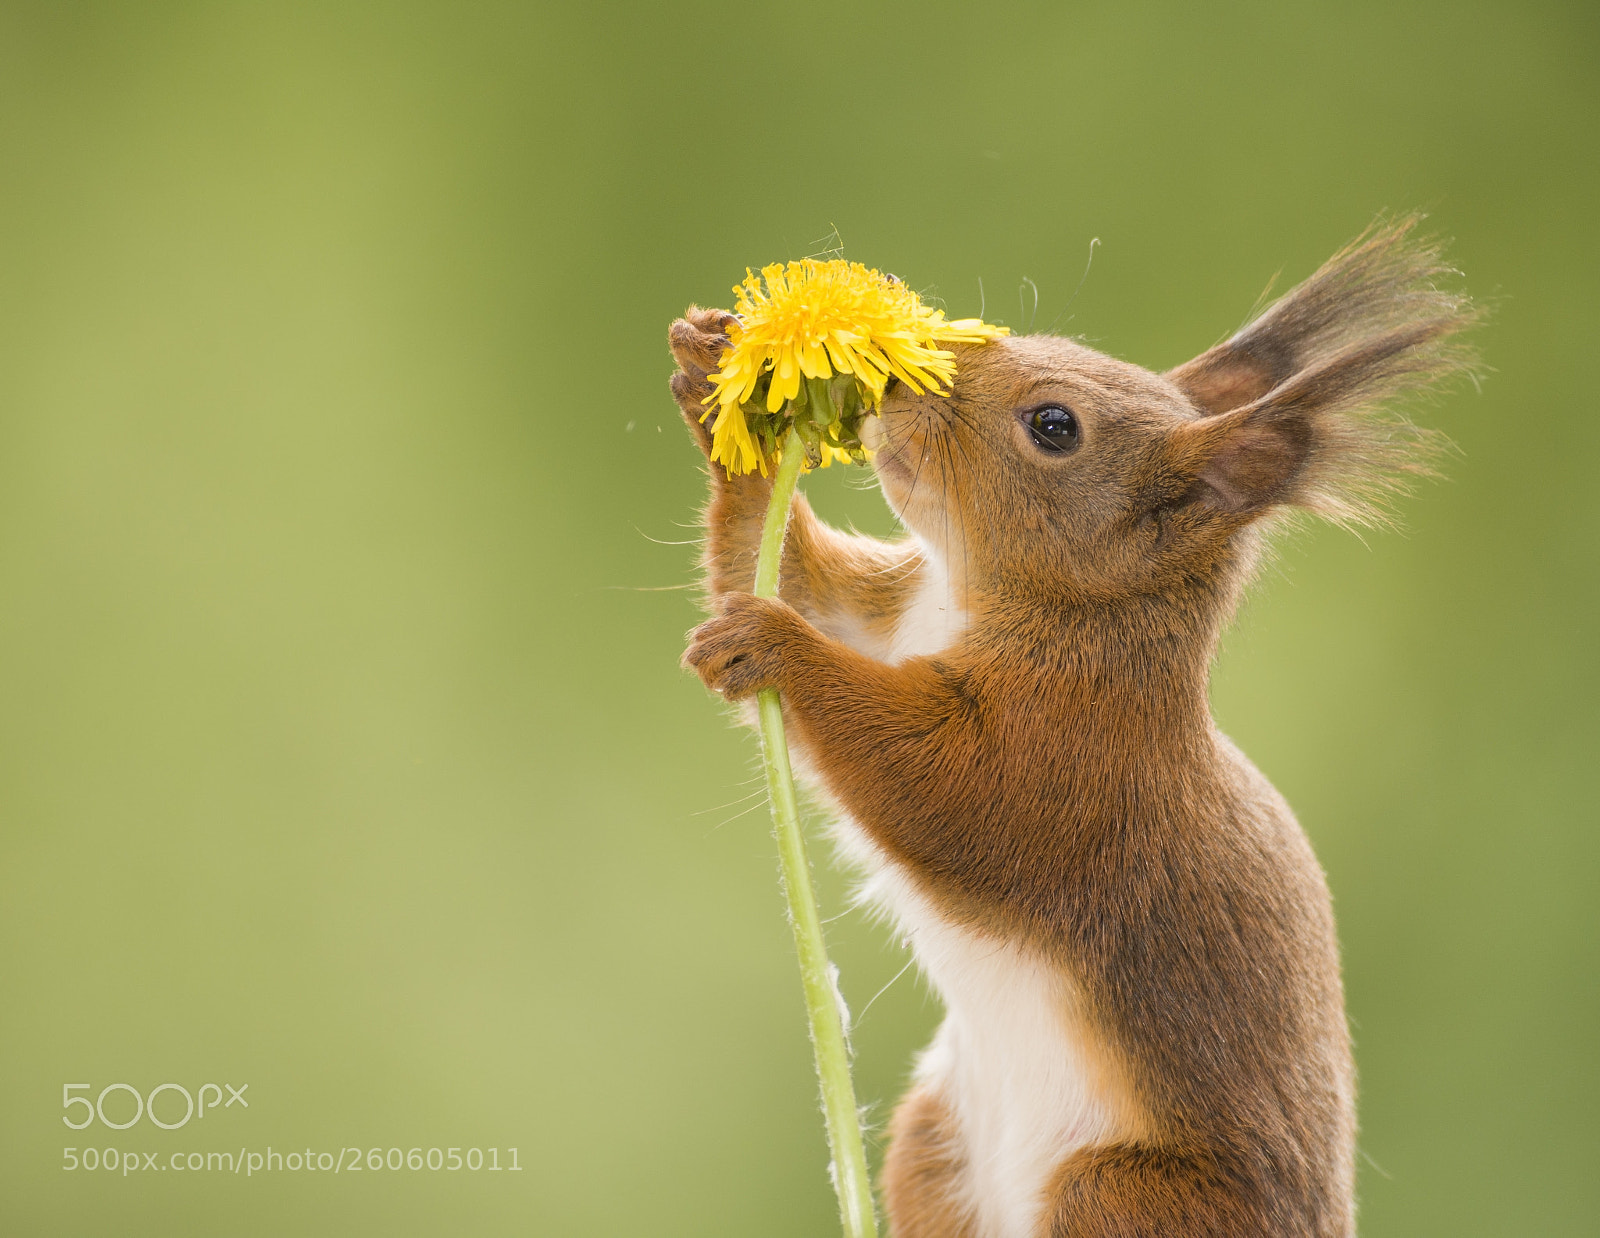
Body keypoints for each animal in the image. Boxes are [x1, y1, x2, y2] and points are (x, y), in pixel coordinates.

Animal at [667, 216, 1477, 1238]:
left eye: (1054, 425)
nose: (895, 384)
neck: (988, 601)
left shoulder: (1071, 756)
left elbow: (941, 786)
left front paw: (775, 644)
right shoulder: (889, 616)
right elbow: (793, 573)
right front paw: (710, 378)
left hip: (1122, 1197)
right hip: (937, 1140)